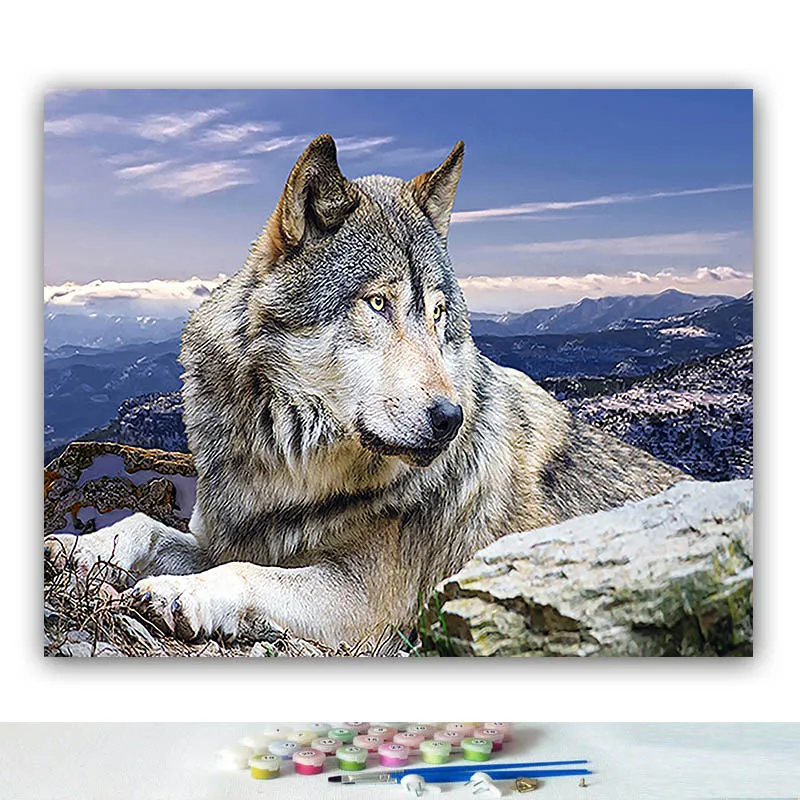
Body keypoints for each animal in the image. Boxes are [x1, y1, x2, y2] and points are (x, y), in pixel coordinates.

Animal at [44, 135, 687, 650]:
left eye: (438, 315)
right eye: (378, 303)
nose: (450, 417)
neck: (289, 465)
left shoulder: (368, 602)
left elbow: (247, 573)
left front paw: (184, 595)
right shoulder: (227, 535)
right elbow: (142, 525)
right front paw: (76, 547)